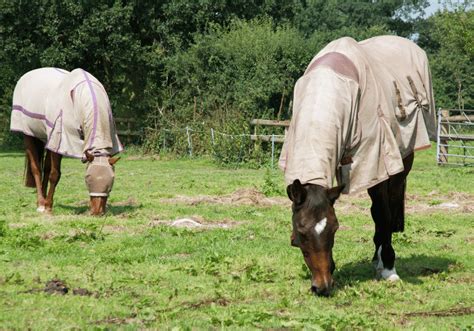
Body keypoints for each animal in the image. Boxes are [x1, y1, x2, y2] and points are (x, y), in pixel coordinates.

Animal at [11, 68, 123, 217]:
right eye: (88, 179)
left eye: (111, 181)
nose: (97, 212)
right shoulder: (62, 141)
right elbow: (55, 174)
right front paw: (48, 207)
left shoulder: (55, 144)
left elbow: (50, 172)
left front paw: (48, 204)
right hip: (29, 135)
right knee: (37, 169)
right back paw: (41, 204)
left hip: (49, 140)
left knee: (46, 169)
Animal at [278, 36, 436, 298]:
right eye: (301, 233)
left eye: (334, 229)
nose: (322, 286)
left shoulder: (375, 161)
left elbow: (383, 215)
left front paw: (389, 269)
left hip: (400, 163)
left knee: (387, 208)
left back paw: (382, 261)